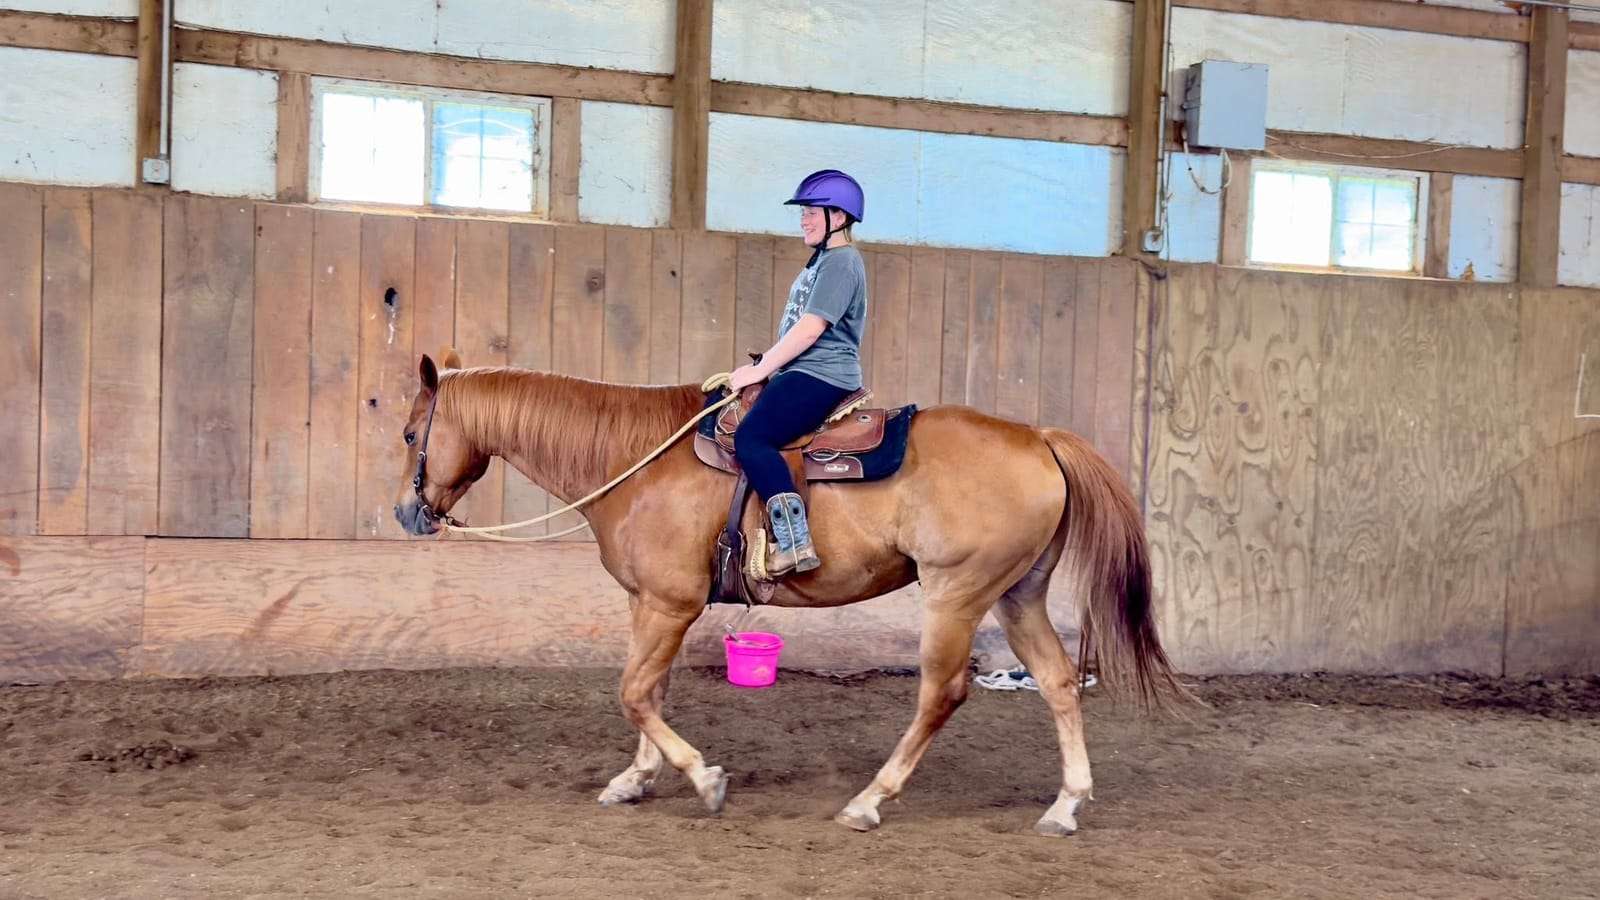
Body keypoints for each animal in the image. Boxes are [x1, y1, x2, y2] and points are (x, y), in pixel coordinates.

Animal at [392, 349, 1185, 836]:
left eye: (406, 433)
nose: (406, 513)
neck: (635, 458)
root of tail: (1040, 438)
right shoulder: (648, 603)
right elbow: (649, 691)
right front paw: (638, 778)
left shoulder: (670, 604)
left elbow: (634, 692)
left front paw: (703, 779)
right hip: (1017, 592)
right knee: (1058, 682)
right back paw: (1064, 806)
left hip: (957, 594)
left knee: (942, 693)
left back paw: (869, 801)